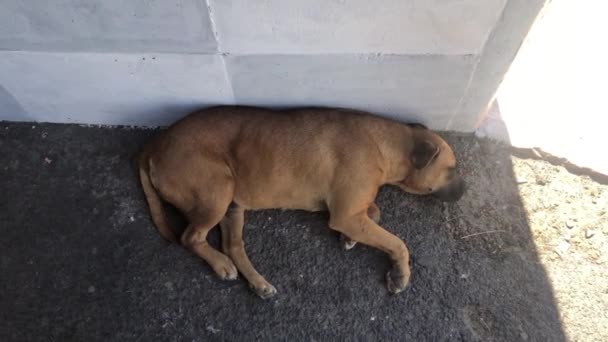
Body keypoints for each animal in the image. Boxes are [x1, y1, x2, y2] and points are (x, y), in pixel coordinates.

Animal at [139, 105, 466, 298]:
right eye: (451, 170)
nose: (464, 188)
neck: (385, 144)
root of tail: (154, 145)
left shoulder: (351, 212)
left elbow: (375, 213)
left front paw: (350, 239)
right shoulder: (346, 214)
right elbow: (398, 242)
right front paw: (400, 274)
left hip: (232, 205)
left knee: (232, 245)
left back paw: (258, 283)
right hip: (217, 192)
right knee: (191, 237)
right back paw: (220, 266)